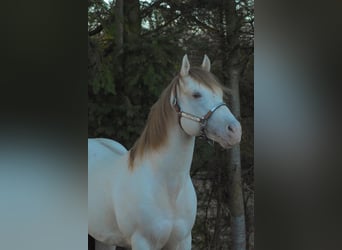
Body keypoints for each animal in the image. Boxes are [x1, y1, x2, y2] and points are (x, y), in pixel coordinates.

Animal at [89, 54, 243, 250]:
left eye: (220, 94)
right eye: (196, 94)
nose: (235, 131)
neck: (168, 190)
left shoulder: (183, 241)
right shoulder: (142, 242)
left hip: (104, 237)